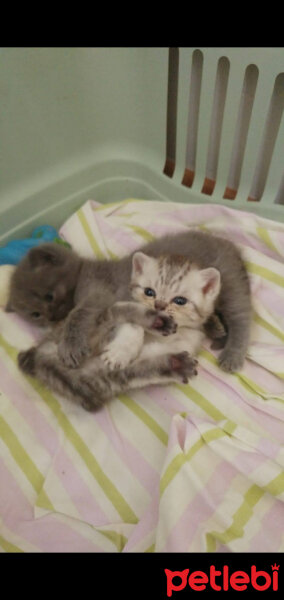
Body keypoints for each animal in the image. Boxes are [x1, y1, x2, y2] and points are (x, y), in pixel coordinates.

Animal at [7, 227, 251, 372]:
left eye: (49, 295)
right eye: (35, 314)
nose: (53, 317)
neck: (83, 271)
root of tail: (227, 242)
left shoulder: (98, 292)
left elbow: (80, 314)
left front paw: (70, 345)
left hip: (229, 284)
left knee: (242, 317)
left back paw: (232, 354)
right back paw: (215, 327)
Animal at [17, 253, 222, 412]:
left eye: (180, 301)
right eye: (149, 292)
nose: (159, 306)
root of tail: (41, 356)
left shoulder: (185, 342)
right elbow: (132, 329)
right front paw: (122, 351)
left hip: (98, 379)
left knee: (132, 373)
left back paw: (175, 364)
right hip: (96, 326)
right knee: (118, 312)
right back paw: (156, 321)